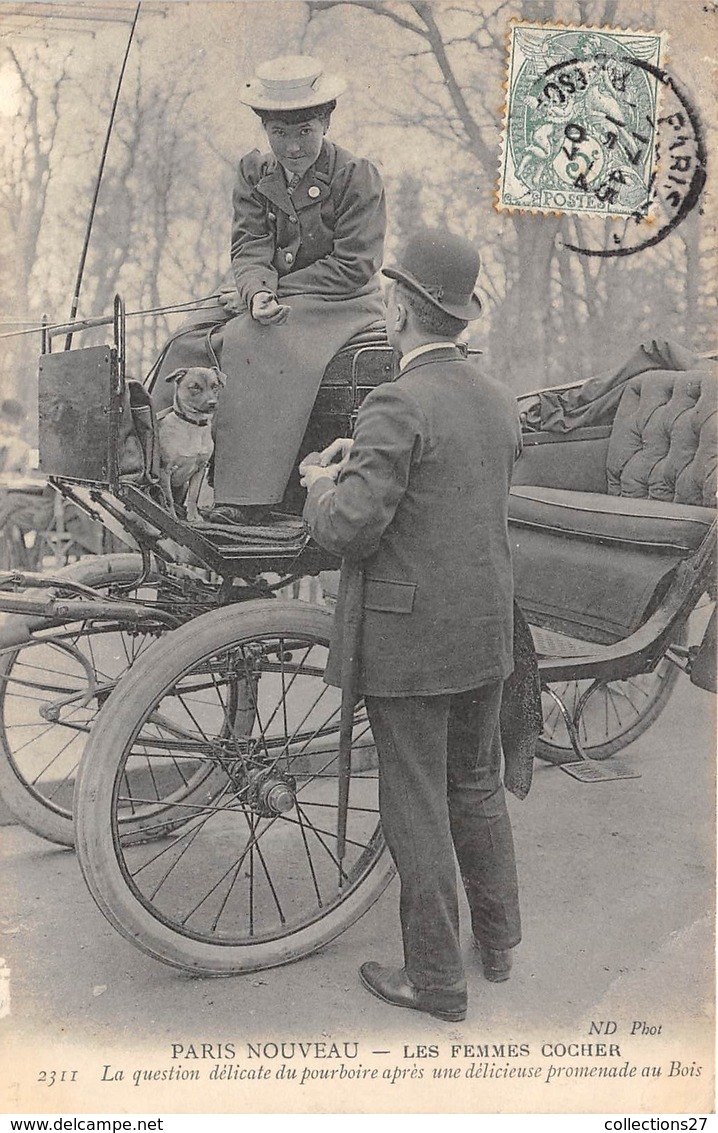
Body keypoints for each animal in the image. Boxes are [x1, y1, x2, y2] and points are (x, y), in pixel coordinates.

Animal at [157, 364, 225, 523]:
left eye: (215, 386)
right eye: (195, 387)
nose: (212, 404)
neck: (193, 425)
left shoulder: (200, 469)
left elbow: (194, 496)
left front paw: (193, 516)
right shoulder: (165, 470)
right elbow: (168, 498)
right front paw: (172, 516)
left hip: (184, 487)